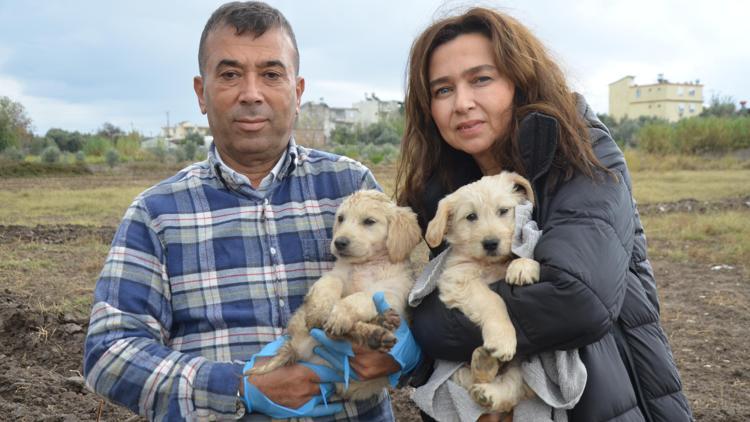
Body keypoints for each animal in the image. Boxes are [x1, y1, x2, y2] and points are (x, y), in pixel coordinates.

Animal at [247, 190, 424, 400]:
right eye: (341, 218)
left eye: (369, 221)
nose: (339, 242)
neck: (365, 265)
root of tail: (296, 348)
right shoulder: (337, 273)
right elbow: (330, 282)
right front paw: (320, 309)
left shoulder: (392, 292)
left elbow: (362, 296)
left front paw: (341, 313)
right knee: (335, 333)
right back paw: (375, 329)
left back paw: (377, 329)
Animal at [428, 171, 540, 412]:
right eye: (471, 216)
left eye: (503, 211)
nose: (490, 243)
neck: (491, 264)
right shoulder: (458, 279)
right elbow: (493, 299)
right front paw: (502, 338)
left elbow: (522, 252)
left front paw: (523, 266)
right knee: (467, 377)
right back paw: (483, 363)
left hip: (523, 364)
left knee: (514, 386)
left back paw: (489, 391)